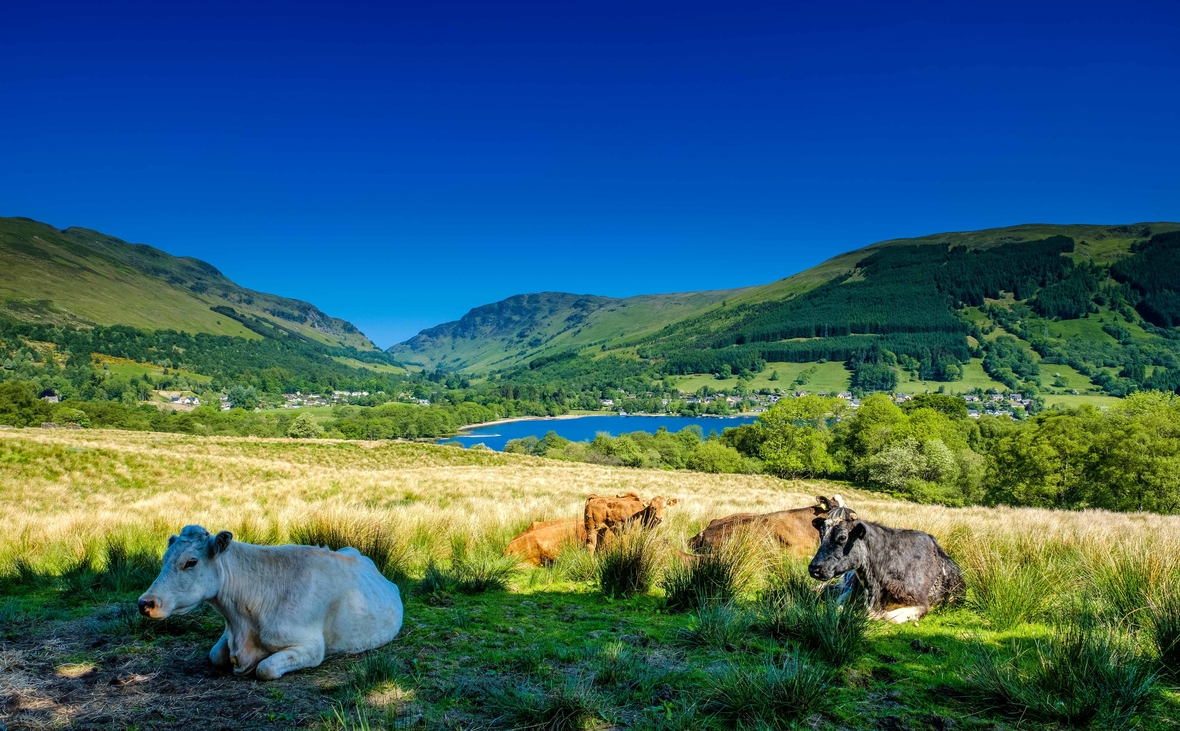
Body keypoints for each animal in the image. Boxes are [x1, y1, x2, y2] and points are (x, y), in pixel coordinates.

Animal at [136, 526, 405, 680]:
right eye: (164, 558)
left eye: (191, 562)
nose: (145, 603)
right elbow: (215, 655)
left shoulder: (312, 647)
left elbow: (265, 669)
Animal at [807, 510, 962, 623]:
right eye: (821, 534)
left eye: (842, 537)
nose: (814, 569)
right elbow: (837, 605)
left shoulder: (922, 604)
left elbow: (888, 616)